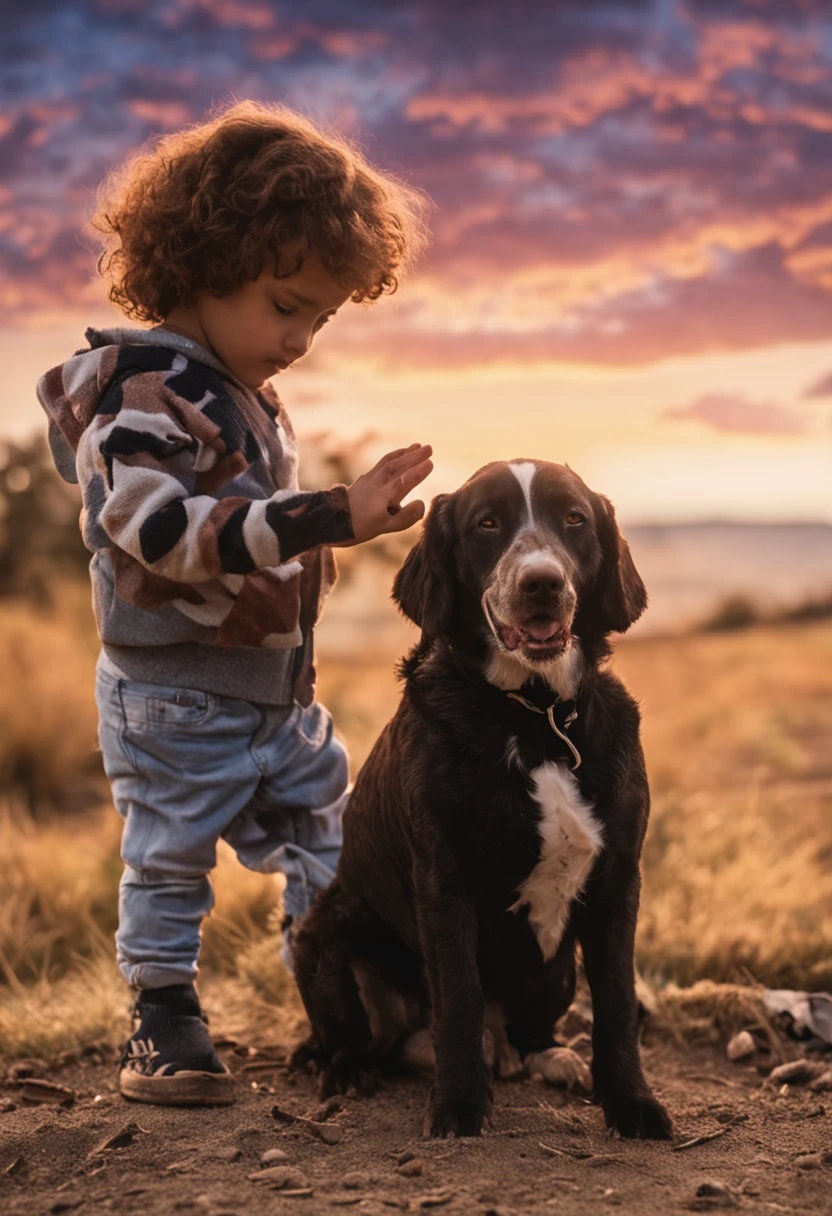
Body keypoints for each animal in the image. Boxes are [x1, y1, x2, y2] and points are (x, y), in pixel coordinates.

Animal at [290, 457, 671, 1138]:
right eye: (486, 524)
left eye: (574, 519)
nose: (542, 583)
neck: (536, 717)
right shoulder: (445, 876)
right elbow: (460, 997)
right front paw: (460, 1105)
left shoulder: (618, 878)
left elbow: (618, 1002)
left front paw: (630, 1103)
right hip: (322, 941)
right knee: (373, 1039)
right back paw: (351, 1070)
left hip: (558, 973)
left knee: (524, 1034)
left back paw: (550, 1057)